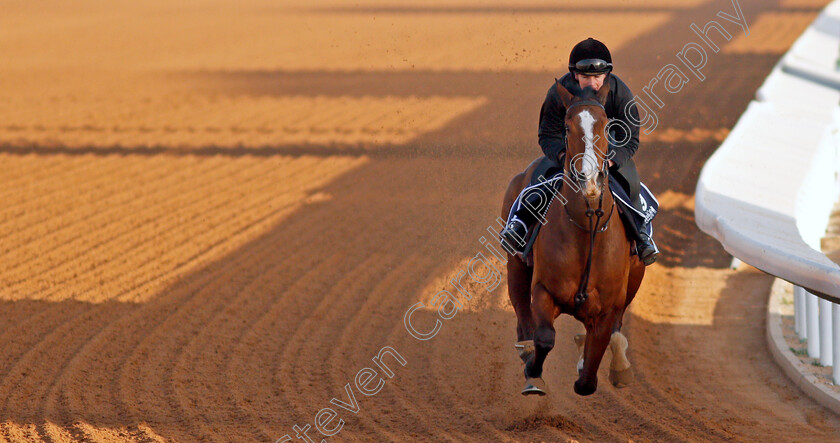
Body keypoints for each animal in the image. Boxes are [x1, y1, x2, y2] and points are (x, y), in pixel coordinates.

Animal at [502, 81, 648, 398]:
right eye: (567, 128)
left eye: (606, 126)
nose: (589, 180)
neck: (585, 227)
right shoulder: (544, 289)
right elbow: (545, 337)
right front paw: (533, 373)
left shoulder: (609, 305)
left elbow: (590, 374)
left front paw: (591, 362)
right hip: (515, 264)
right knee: (522, 315)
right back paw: (526, 349)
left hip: (636, 276)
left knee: (616, 329)